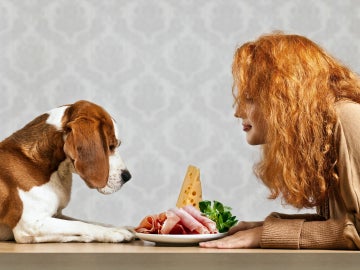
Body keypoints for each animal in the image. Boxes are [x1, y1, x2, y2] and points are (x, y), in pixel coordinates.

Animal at [0, 100, 134, 244]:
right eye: (111, 146)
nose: (128, 176)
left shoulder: (58, 215)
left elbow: (88, 221)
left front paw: (120, 227)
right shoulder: (30, 225)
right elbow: (80, 224)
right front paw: (112, 232)